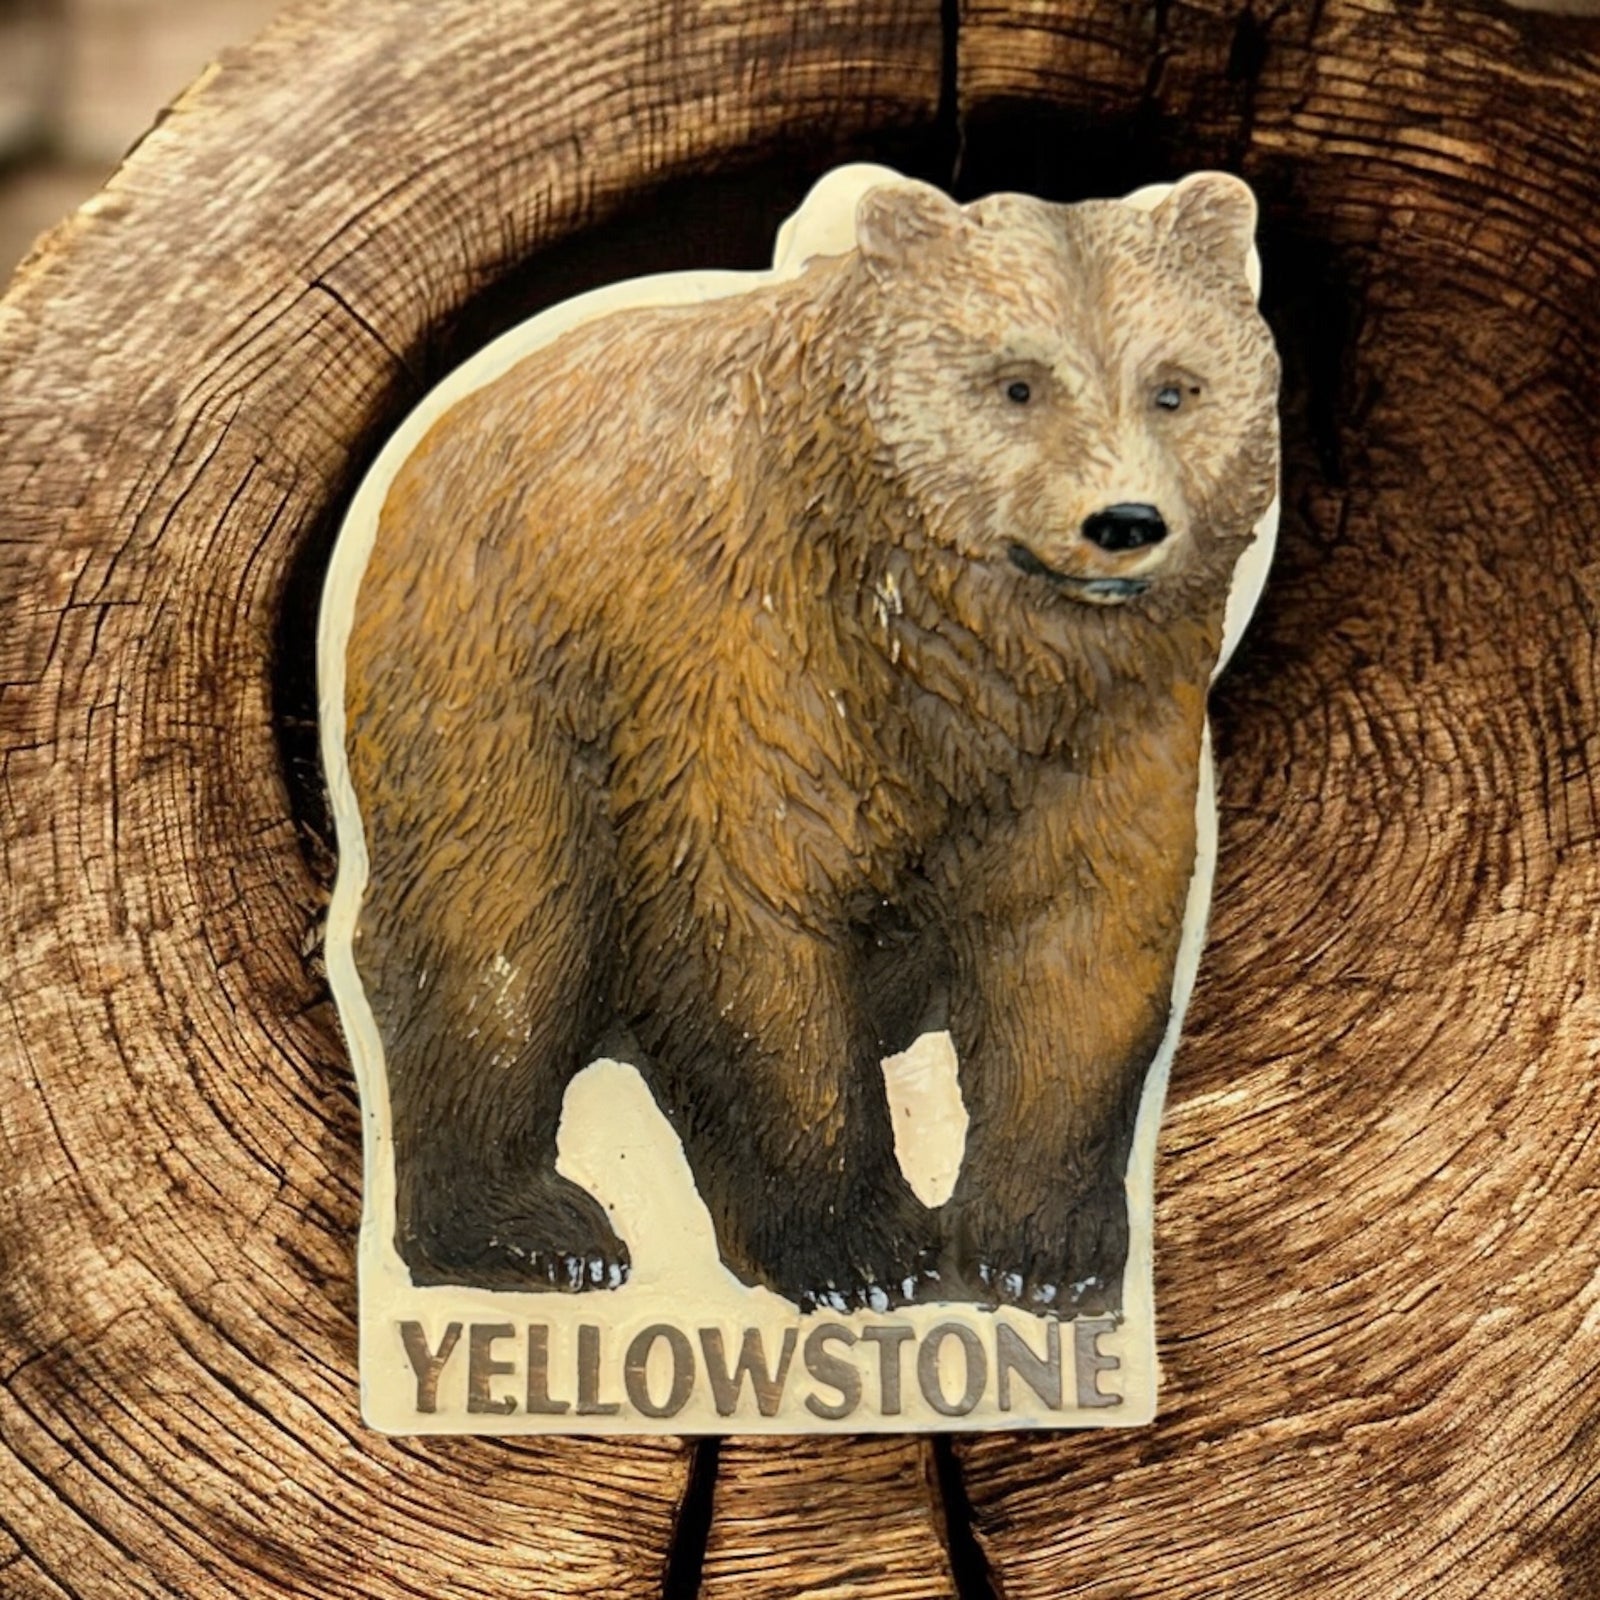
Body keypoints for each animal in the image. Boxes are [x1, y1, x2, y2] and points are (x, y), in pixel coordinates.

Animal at [339, 171, 1280, 1317]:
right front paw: (858, 1249)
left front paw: (1043, 1248)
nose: (1124, 522)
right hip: (490, 677)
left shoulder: (1105, 734)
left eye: (1174, 387)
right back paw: (532, 1230)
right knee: (498, 922)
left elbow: (1083, 938)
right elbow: (752, 921)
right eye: (1016, 383)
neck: (964, 663)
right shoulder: (759, 661)